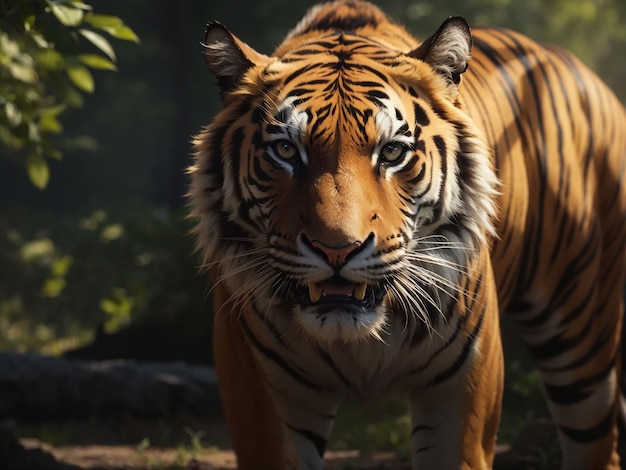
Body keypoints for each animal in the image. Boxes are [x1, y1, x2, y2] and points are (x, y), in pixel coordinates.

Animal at [188, 0, 624, 468]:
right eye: (286, 150)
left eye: (392, 151)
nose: (337, 249)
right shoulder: (261, 393)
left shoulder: (463, 395)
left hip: (584, 336)